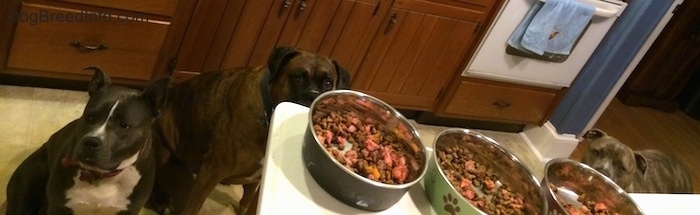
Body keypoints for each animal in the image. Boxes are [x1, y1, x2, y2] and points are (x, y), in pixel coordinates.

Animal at [150, 46, 352, 214]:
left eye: (328, 83)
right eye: (297, 78)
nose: (312, 96)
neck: (268, 113)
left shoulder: (255, 181)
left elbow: (245, 204)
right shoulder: (210, 174)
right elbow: (192, 208)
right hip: (161, 147)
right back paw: (161, 200)